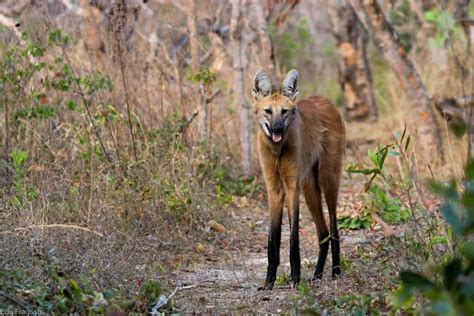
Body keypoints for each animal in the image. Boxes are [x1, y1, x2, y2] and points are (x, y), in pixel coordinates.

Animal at [252, 68, 344, 288]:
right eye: (268, 111)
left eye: (284, 112)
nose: (277, 129)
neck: (277, 150)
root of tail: (325, 100)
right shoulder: (274, 189)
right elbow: (273, 238)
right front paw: (269, 283)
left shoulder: (292, 187)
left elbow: (293, 237)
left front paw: (295, 278)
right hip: (309, 188)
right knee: (323, 233)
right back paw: (317, 274)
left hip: (327, 179)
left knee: (333, 229)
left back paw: (336, 271)